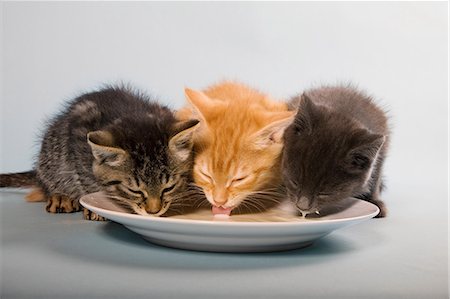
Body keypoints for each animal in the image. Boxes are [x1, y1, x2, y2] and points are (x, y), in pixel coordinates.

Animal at [0, 86, 204, 220]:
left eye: (168, 187)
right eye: (134, 190)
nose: (153, 212)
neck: (134, 115)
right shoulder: (78, 140)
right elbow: (84, 178)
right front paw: (93, 205)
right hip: (51, 149)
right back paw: (60, 195)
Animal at [284, 86, 388, 218]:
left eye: (325, 193)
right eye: (294, 182)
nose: (302, 207)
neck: (344, 111)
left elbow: (375, 177)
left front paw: (375, 201)